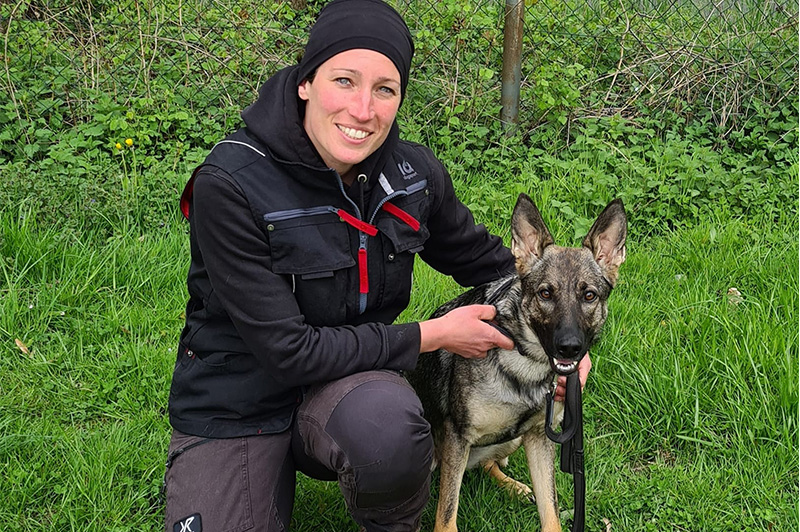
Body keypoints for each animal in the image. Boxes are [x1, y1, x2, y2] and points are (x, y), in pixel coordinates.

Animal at [410, 193, 628, 532]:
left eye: (589, 295)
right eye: (545, 293)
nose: (570, 348)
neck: (525, 363)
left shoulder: (539, 438)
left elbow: (551, 513)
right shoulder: (457, 438)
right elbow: (447, 516)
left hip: (513, 440)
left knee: (489, 463)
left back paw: (514, 486)